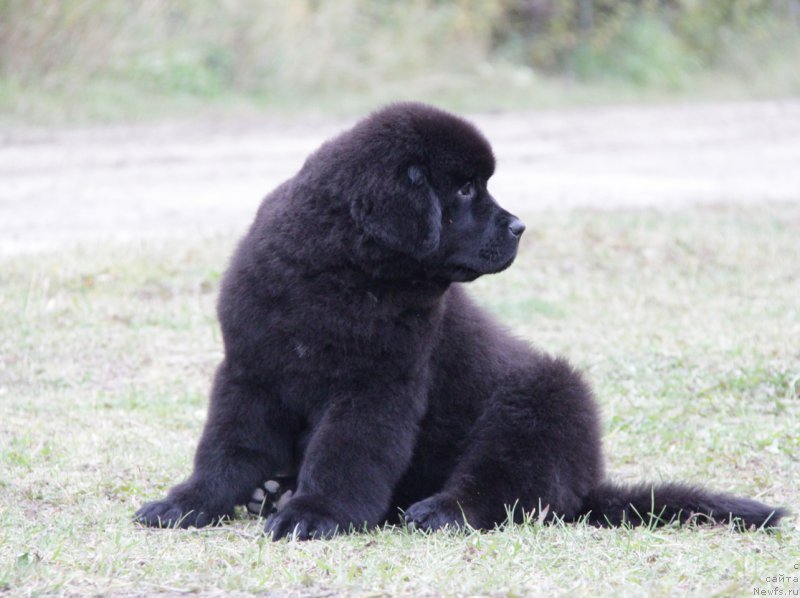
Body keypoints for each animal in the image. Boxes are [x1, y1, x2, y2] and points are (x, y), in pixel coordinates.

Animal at [134, 102, 784, 540]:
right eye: (466, 189)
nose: (520, 226)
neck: (338, 272)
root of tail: (588, 484)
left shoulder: (376, 387)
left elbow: (344, 456)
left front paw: (315, 516)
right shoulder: (250, 369)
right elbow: (225, 447)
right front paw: (187, 503)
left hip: (538, 403)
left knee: (508, 489)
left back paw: (438, 509)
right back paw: (270, 492)